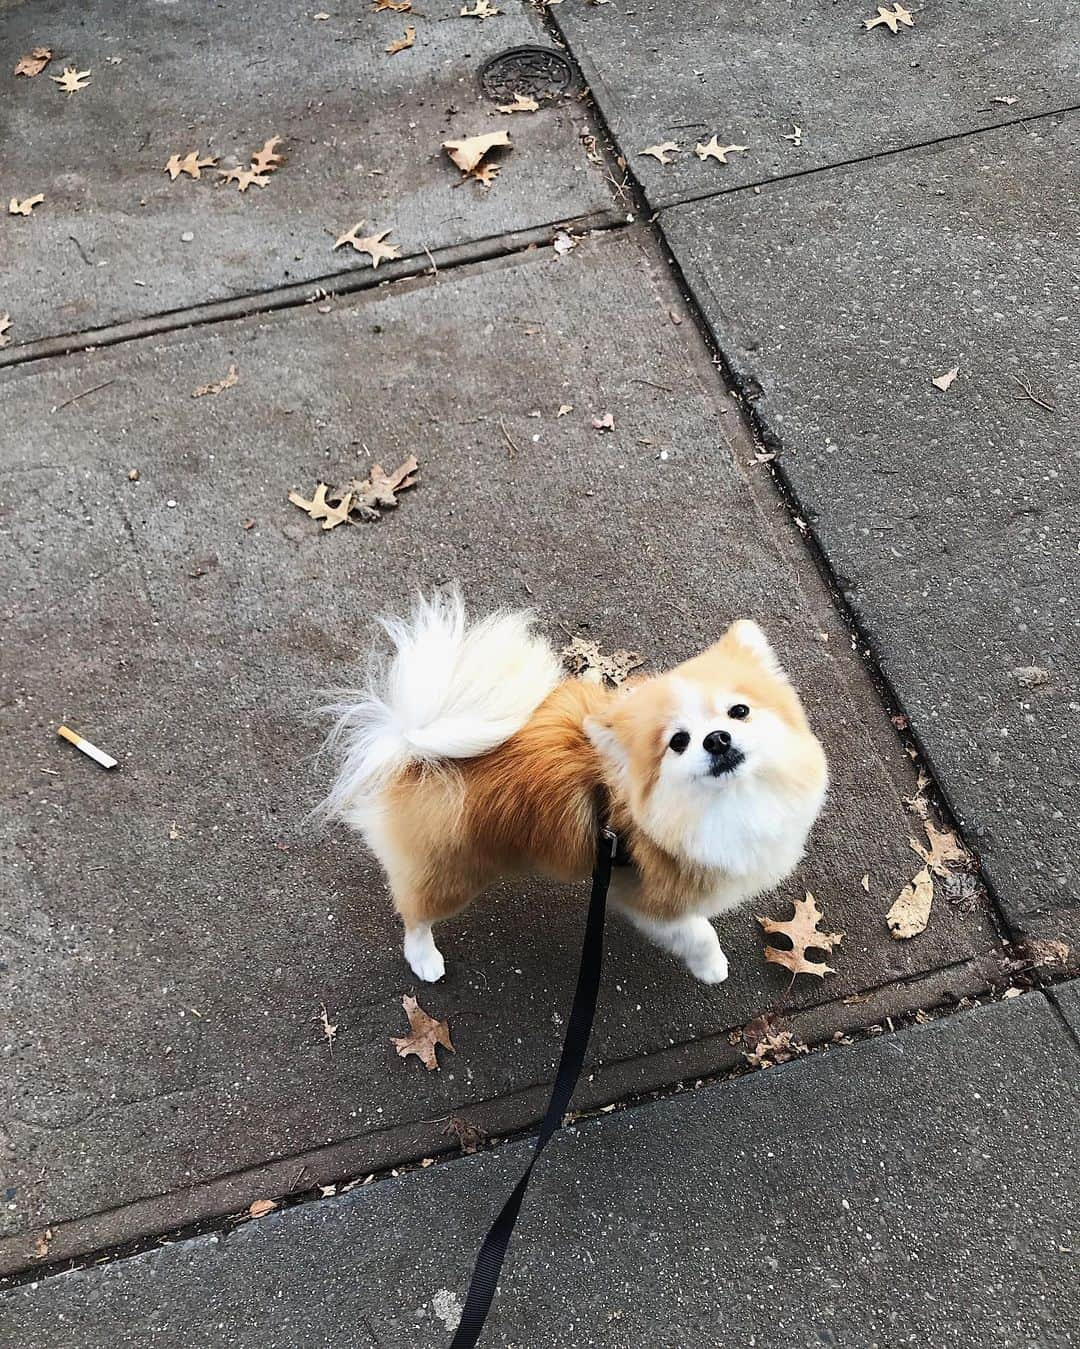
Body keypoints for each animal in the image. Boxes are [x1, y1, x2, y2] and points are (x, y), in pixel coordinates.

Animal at [318, 596, 825, 987]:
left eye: (739, 711)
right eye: (678, 742)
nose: (716, 739)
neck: (728, 803)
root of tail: (414, 746)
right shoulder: (651, 899)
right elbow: (700, 933)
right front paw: (713, 967)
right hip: (452, 872)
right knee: (415, 915)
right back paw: (425, 959)